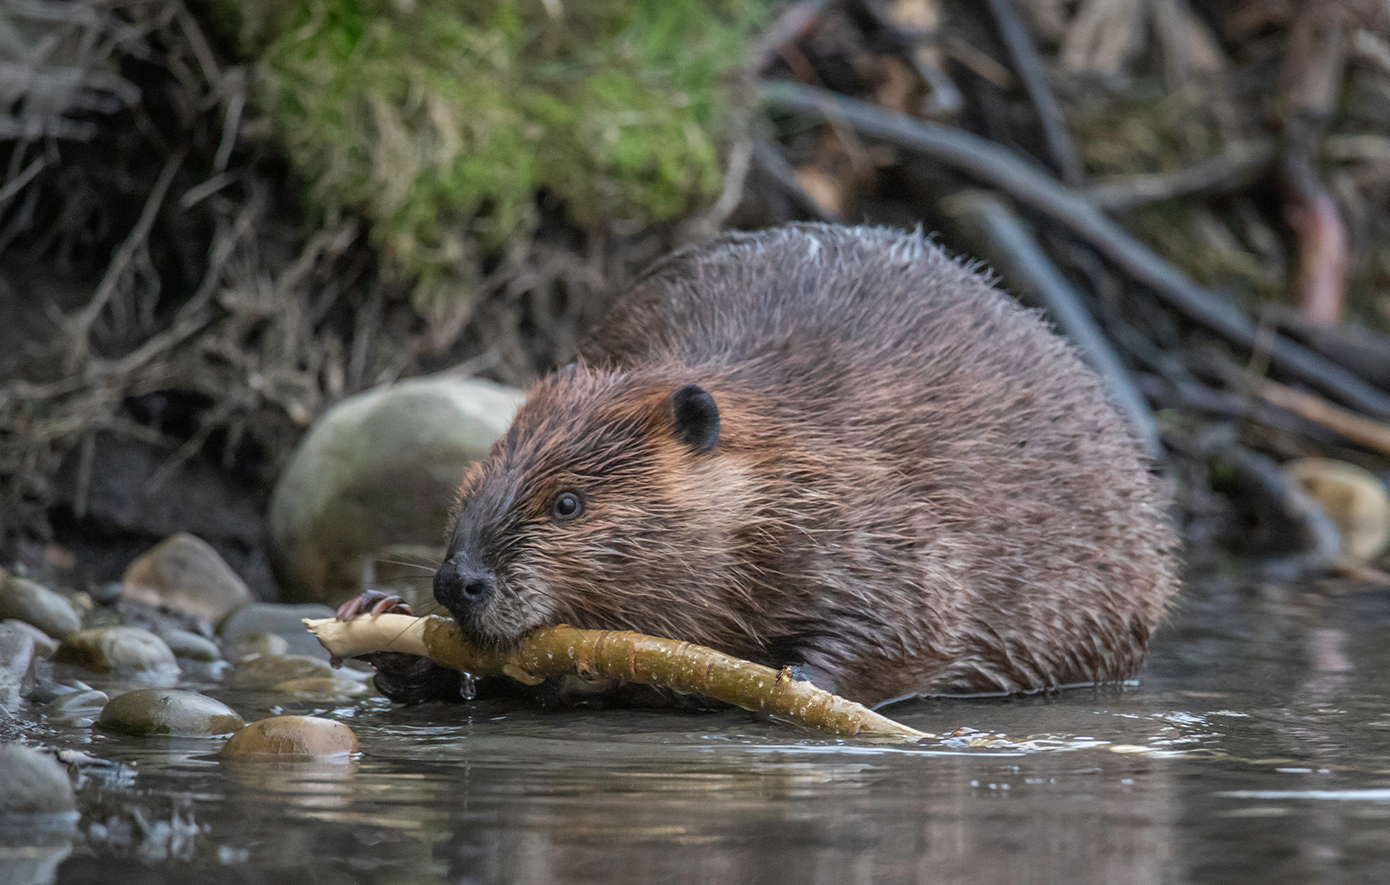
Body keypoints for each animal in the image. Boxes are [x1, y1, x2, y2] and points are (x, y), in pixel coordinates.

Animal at [341, 226, 1178, 702]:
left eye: (568, 503)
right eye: (472, 480)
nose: (458, 580)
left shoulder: (874, 519)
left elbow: (918, 622)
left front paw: (798, 682)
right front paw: (382, 621)